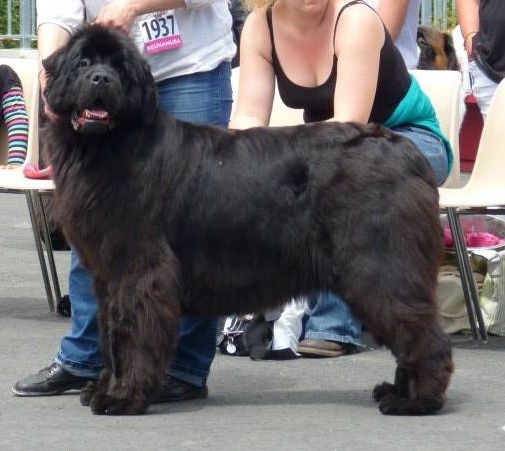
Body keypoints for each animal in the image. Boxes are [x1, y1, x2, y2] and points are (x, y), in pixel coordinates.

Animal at [43, 24, 452, 416]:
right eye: (82, 63)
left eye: (120, 68)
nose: (101, 79)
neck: (108, 145)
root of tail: (406, 152)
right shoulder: (109, 276)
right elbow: (111, 333)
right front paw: (103, 388)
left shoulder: (140, 272)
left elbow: (131, 335)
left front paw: (122, 398)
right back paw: (399, 392)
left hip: (378, 267)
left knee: (420, 332)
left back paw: (417, 401)